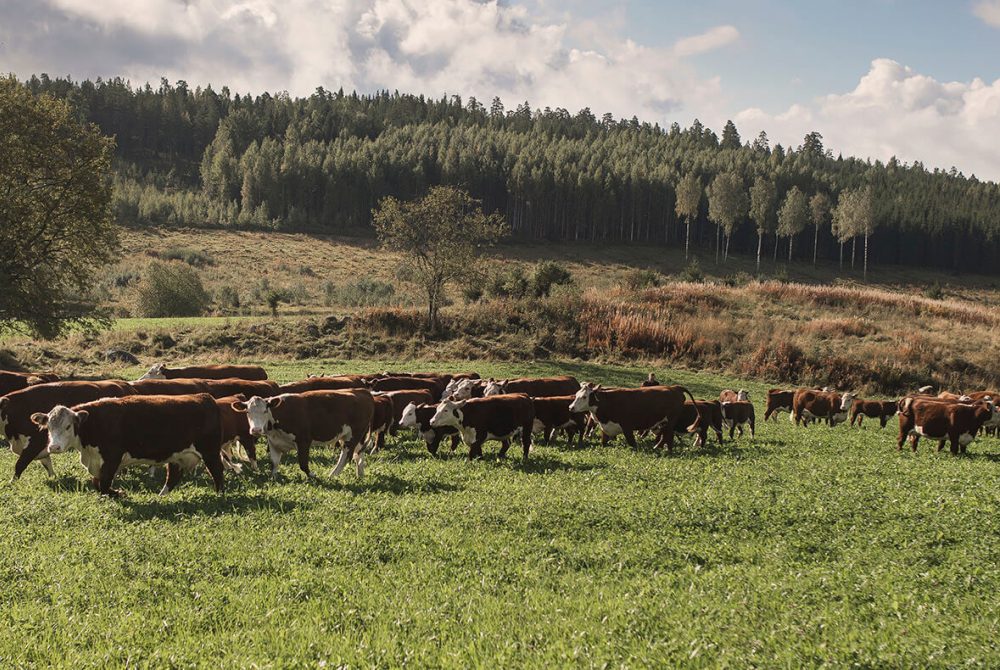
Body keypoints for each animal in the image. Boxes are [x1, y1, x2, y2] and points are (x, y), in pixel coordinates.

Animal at [0, 380, 136, 480]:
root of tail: (124, 384)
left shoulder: (35, 443)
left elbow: (20, 464)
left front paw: (13, 483)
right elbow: (47, 464)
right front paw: (53, 477)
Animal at [34, 394, 225, 498]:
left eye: (68, 426)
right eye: (48, 427)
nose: (54, 447)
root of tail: (205, 397)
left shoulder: (112, 458)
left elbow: (104, 484)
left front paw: (117, 493)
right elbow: (97, 482)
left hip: (210, 451)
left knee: (217, 471)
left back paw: (219, 494)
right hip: (176, 455)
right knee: (173, 476)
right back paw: (161, 496)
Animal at [233, 392, 376, 480]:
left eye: (264, 411)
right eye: (247, 412)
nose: (256, 430)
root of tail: (364, 392)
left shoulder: (304, 441)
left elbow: (303, 464)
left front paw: (313, 475)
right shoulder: (274, 443)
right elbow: (274, 463)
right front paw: (273, 478)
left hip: (353, 436)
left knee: (346, 455)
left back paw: (332, 475)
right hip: (356, 436)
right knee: (359, 454)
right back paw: (360, 474)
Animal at [568, 380, 700, 454]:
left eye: (584, 397)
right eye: (576, 394)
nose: (571, 407)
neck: (608, 402)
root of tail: (674, 388)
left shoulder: (627, 427)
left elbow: (632, 443)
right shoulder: (605, 428)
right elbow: (603, 442)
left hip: (670, 421)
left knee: (668, 435)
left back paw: (664, 449)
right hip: (664, 422)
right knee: (667, 436)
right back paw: (661, 448)